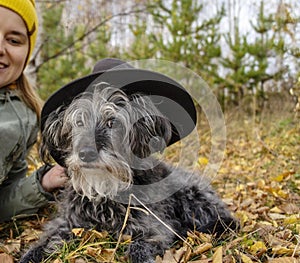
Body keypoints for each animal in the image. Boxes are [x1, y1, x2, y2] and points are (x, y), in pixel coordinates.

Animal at [19, 83, 238, 263]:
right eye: (79, 123)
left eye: (112, 122)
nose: (86, 153)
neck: (105, 191)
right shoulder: (67, 223)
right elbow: (43, 243)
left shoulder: (154, 229)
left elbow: (138, 248)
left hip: (190, 193)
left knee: (230, 222)